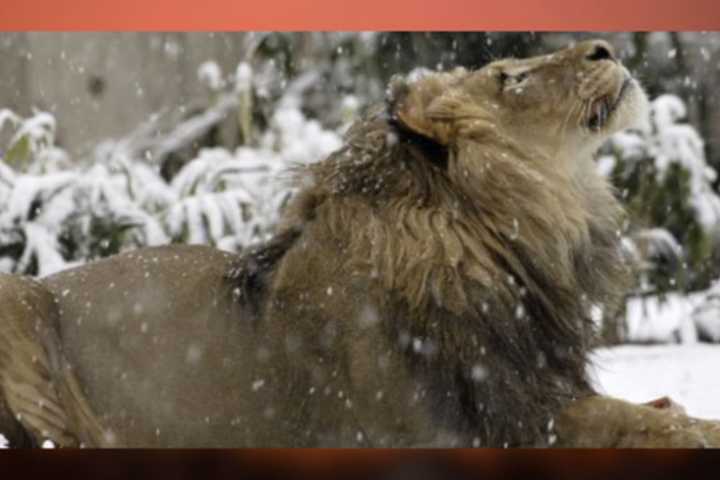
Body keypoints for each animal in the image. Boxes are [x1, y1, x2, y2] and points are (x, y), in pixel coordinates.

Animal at [1, 39, 720, 448]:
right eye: (507, 78)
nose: (603, 48)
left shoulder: (534, 388)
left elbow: (652, 410)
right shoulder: (462, 429)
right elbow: (633, 423)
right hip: (21, 298)